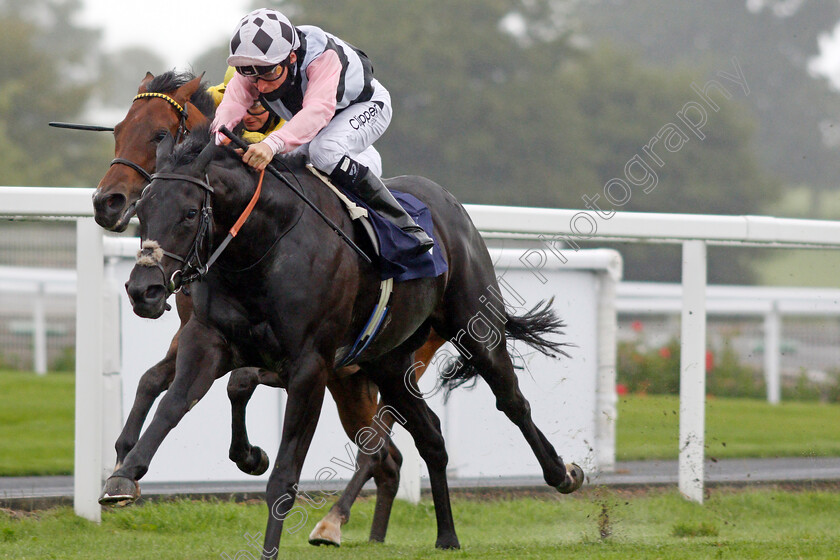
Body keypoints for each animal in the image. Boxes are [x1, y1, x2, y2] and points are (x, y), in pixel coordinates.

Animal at [110, 129, 584, 556]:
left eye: (190, 213)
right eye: (141, 211)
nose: (143, 290)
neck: (263, 247)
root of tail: (448, 201)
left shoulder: (309, 367)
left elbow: (283, 475)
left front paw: (268, 541)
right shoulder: (208, 340)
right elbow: (174, 401)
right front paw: (124, 475)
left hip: (474, 328)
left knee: (511, 402)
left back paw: (562, 474)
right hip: (387, 364)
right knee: (429, 434)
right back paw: (446, 536)